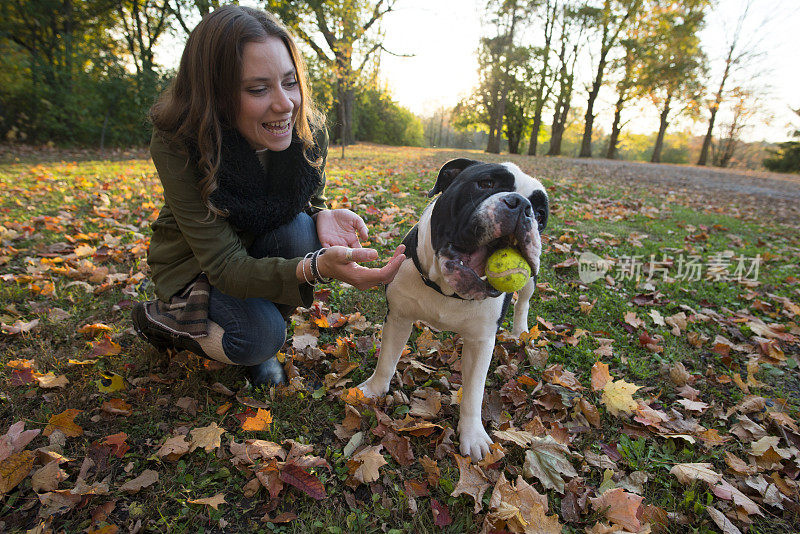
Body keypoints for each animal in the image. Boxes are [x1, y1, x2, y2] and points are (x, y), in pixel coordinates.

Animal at [358, 158, 552, 460]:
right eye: (486, 183)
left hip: (530, 280)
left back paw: (520, 329)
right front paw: (374, 389)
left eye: (541, 214)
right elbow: (387, 360)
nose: (522, 205)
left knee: (524, 300)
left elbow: (473, 391)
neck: (447, 289)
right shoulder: (399, 318)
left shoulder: (481, 341)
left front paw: (473, 436)